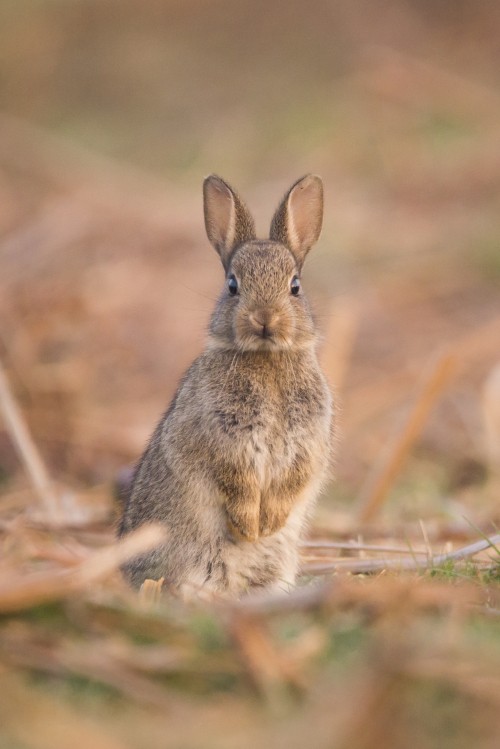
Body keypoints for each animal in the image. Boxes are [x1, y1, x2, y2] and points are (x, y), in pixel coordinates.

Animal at [118, 174, 334, 596]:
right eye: (233, 285)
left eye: (295, 286)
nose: (264, 318)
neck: (266, 358)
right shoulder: (223, 439)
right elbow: (237, 482)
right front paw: (250, 527)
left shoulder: (307, 443)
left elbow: (292, 480)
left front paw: (268, 524)